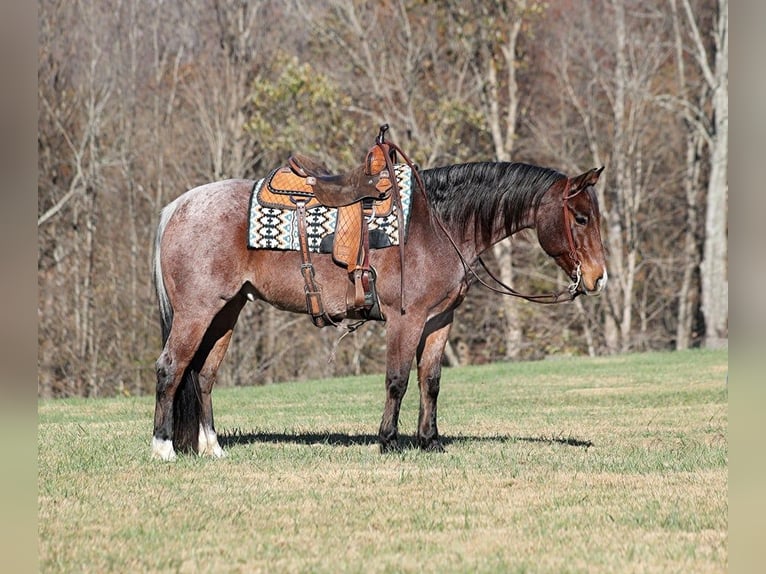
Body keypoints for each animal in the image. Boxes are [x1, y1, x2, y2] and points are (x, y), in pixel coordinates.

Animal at [150, 159, 608, 464]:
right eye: (581, 217)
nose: (598, 278)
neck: (436, 225)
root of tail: (177, 207)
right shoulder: (406, 319)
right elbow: (397, 380)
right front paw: (388, 440)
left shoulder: (439, 321)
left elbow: (430, 381)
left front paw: (430, 440)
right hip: (197, 312)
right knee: (170, 368)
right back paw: (163, 447)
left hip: (226, 312)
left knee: (204, 376)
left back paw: (213, 448)